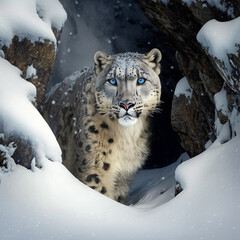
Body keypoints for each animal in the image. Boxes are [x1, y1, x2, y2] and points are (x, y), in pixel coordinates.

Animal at [44, 48, 162, 202]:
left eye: (141, 80)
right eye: (112, 81)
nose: (126, 104)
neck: (127, 138)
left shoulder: (124, 174)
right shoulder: (95, 166)